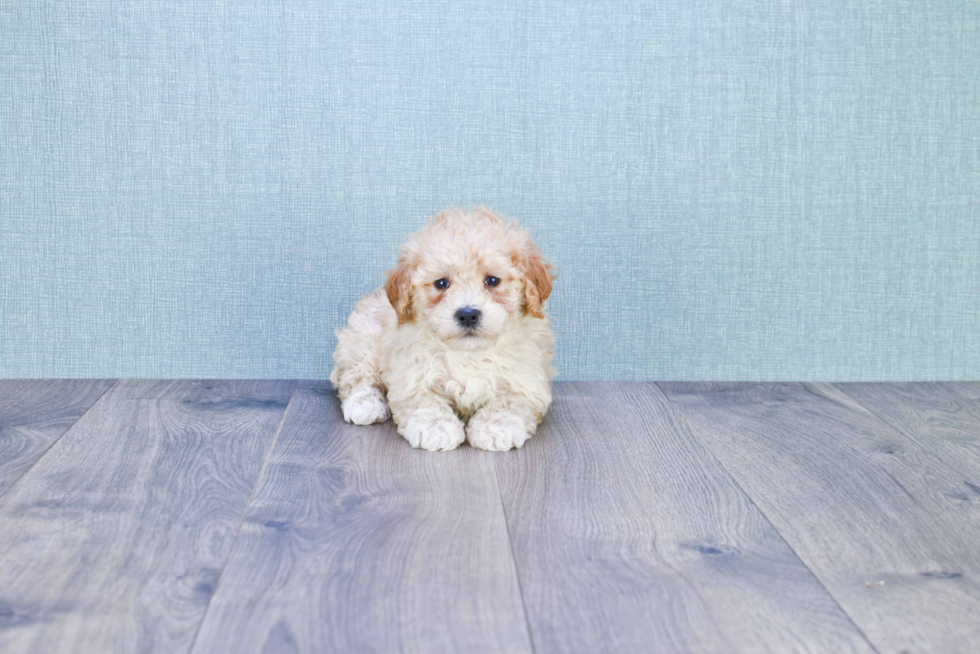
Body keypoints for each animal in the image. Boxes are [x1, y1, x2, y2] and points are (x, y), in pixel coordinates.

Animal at [332, 209, 556, 452]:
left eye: (492, 280)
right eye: (441, 283)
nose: (468, 314)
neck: (468, 353)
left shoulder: (527, 380)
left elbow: (509, 402)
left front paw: (496, 427)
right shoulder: (411, 375)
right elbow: (425, 400)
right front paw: (436, 428)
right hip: (362, 338)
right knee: (356, 375)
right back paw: (365, 404)